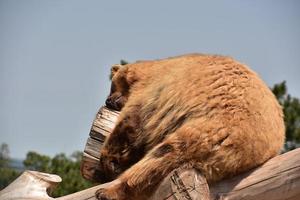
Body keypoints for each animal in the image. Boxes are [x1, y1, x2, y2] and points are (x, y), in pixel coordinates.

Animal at [95, 53, 284, 200]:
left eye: (111, 86)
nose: (108, 100)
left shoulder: (154, 90)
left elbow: (133, 120)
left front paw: (108, 163)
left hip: (210, 127)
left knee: (162, 156)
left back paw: (108, 192)